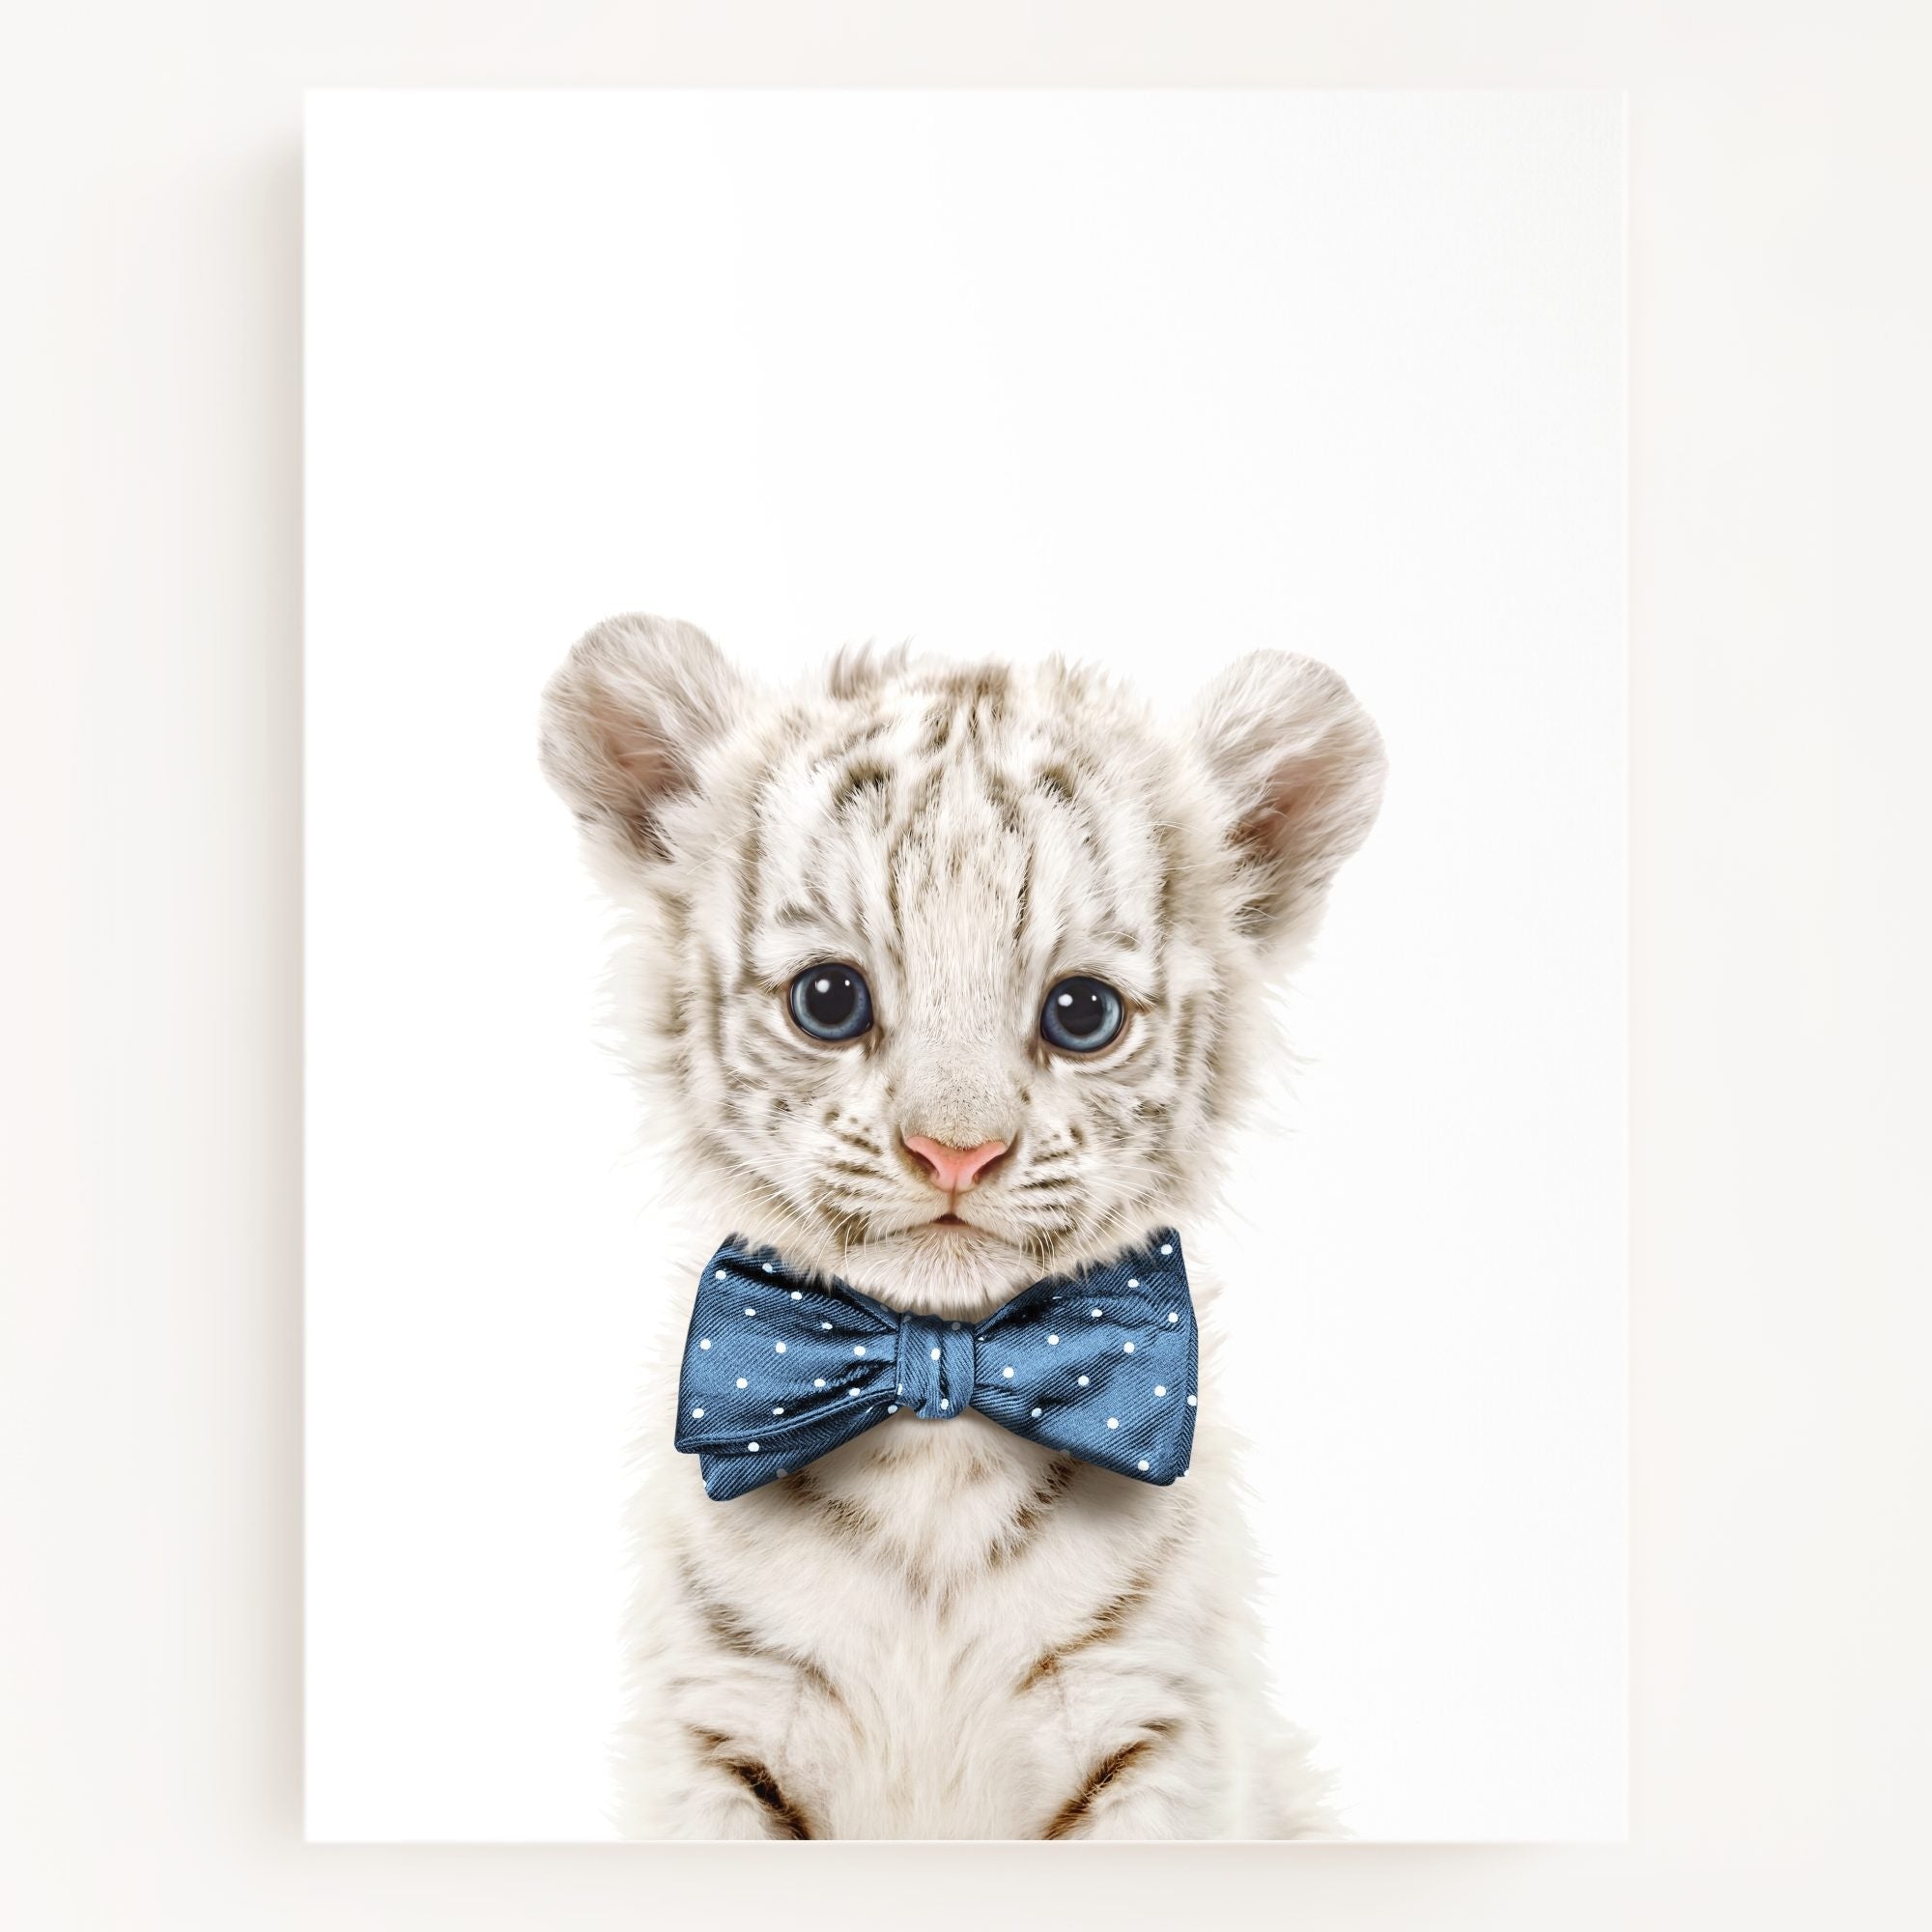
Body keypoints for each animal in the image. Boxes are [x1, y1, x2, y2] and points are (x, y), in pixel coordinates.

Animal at [540, 611, 1384, 1838]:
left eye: (1081, 1013)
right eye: (828, 999)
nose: (955, 1150)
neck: (937, 1419)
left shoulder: (1154, 1732)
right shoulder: (718, 1733)